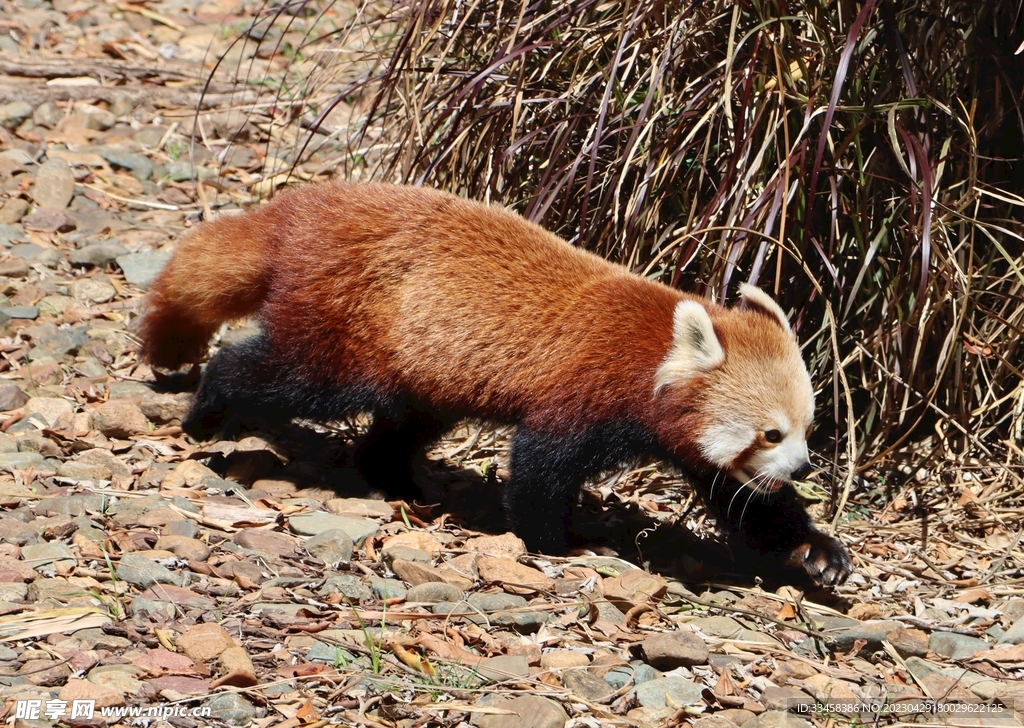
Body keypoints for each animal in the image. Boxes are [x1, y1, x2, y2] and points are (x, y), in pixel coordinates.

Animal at [140, 182, 851, 585]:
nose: (804, 466)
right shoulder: (583, 392)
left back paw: (397, 481)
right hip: (343, 333)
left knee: (401, 426)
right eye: (771, 433)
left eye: (808, 429)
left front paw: (815, 553)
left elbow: (746, 502)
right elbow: (539, 467)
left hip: (416, 369)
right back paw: (207, 412)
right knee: (283, 375)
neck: (654, 351)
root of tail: (305, 206)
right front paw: (557, 543)